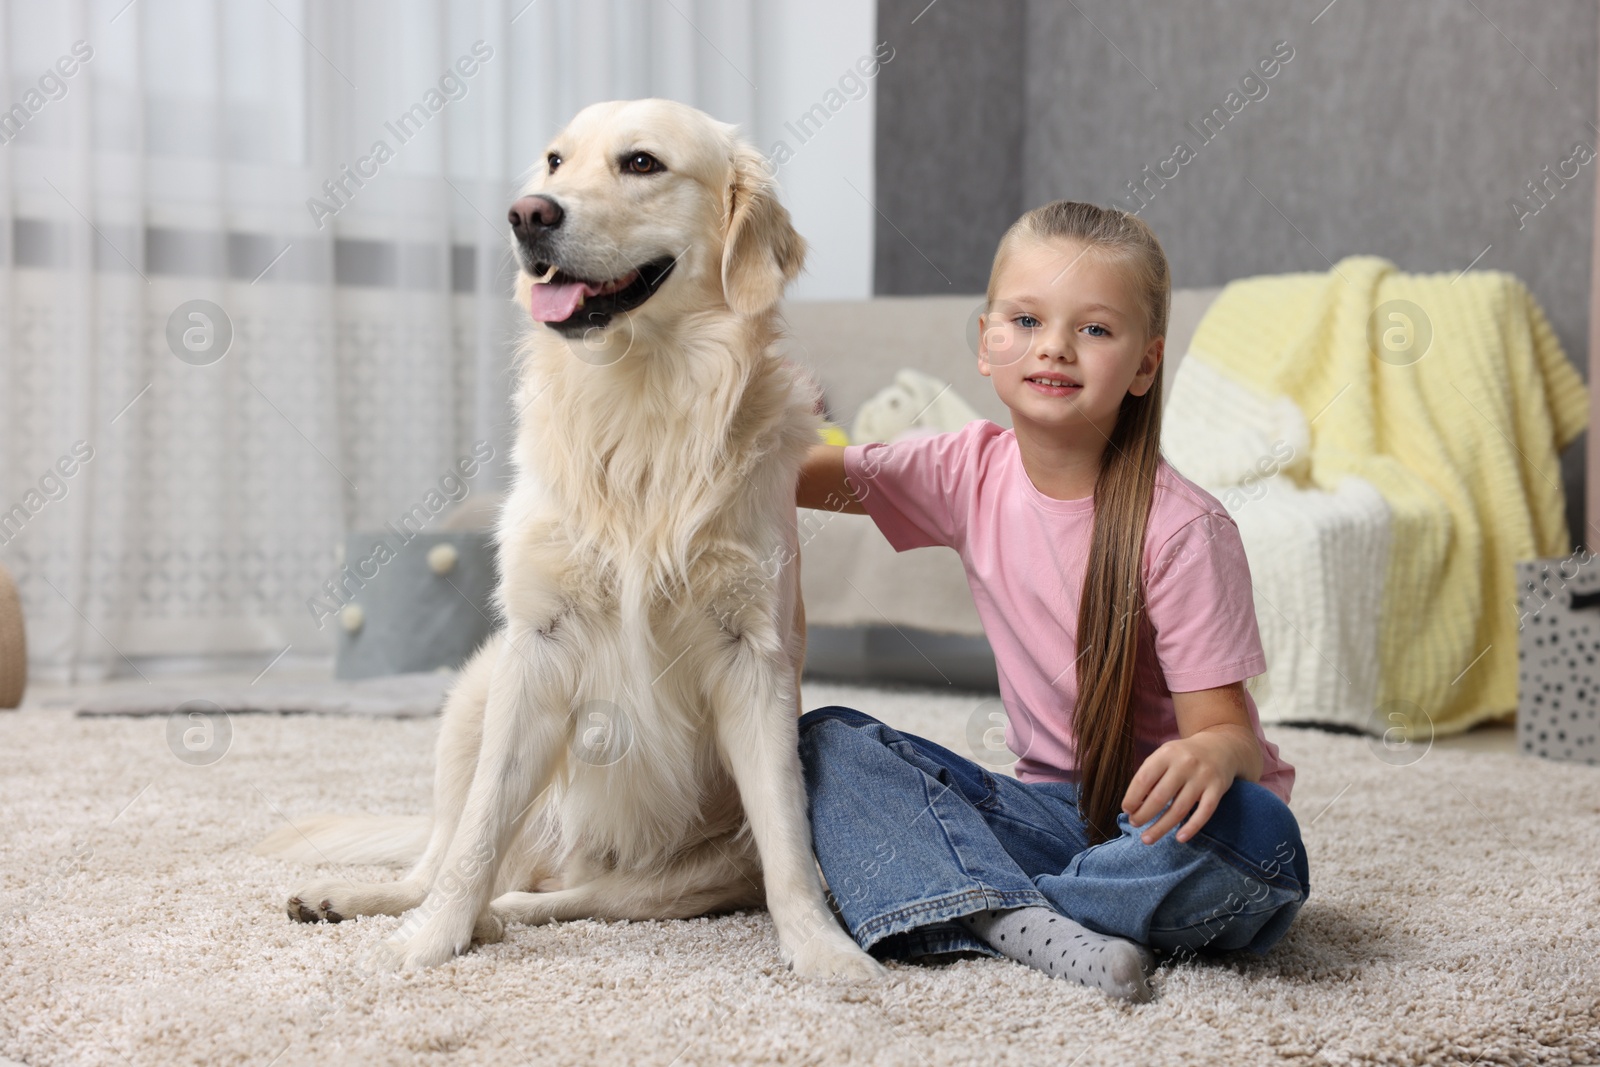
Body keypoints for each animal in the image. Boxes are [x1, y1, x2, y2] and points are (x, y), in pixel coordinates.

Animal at [259, 95, 889, 979]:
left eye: (642, 163)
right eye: (556, 161)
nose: (527, 214)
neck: (639, 398)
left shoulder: (753, 657)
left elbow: (790, 846)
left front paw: (823, 951)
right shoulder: (539, 643)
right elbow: (474, 838)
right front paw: (427, 941)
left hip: (683, 868)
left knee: (573, 896)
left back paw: (500, 915)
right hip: (474, 692)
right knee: (440, 856)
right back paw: (362, 899)